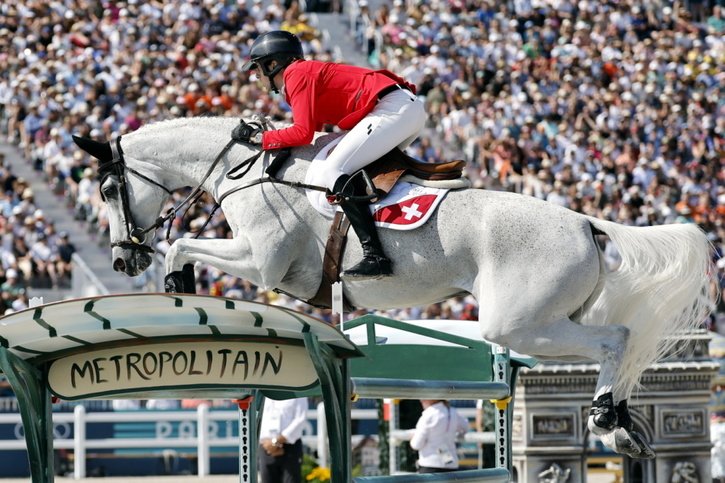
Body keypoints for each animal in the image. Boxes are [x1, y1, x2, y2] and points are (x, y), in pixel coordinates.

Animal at [70, 117, 716, 462]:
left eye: (107, 189)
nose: (122, 259)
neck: (245, 170)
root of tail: (587, 222)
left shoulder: (263, 263)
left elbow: (183, 245)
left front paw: (175, 280)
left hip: (516, 324)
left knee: (617, 338)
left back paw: (608, 420)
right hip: (546, 320)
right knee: (616, 342)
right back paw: (623, 422)